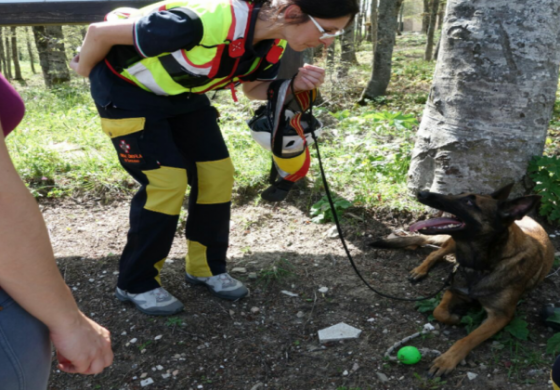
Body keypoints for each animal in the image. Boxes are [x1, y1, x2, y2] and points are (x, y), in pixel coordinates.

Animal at [370, 184, 552, 376]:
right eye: (461, 194)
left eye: (470, 202)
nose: (421, 193)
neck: (483, 264)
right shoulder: (454, 289)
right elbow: (439, 311)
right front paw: (456, 317)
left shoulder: (501, 315)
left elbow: (469, 338)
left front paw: (446, 360)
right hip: (452, 244)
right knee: (435, 252)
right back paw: (420, 270)